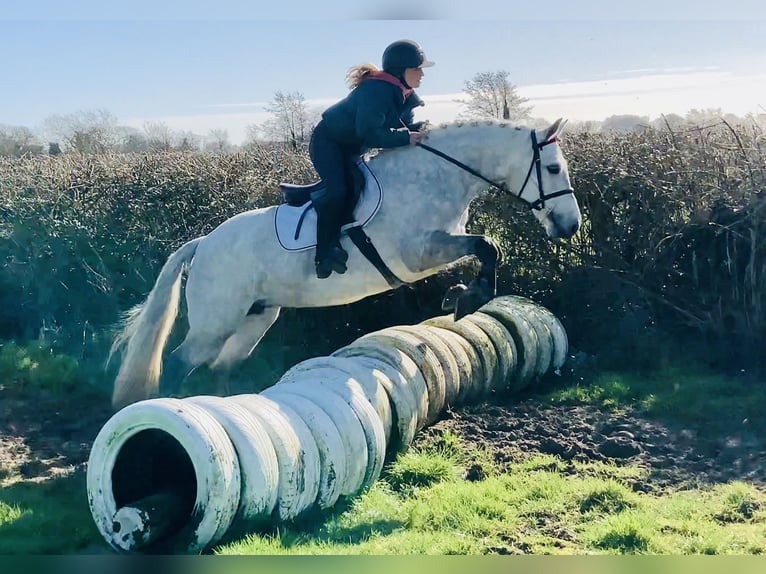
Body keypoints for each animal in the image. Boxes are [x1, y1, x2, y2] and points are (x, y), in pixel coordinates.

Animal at [110, 118, 581, 409]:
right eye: (553, 169)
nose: (570, 226)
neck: (437, 176)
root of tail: (203, 243)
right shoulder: (418, 253)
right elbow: (488, 247)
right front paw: (466, 299)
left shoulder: (434, 251)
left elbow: (485, 250)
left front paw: (461, 295)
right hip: (216, 322)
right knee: (180, 362)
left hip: (256, 318)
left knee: (220, 367)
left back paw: (221, 410)